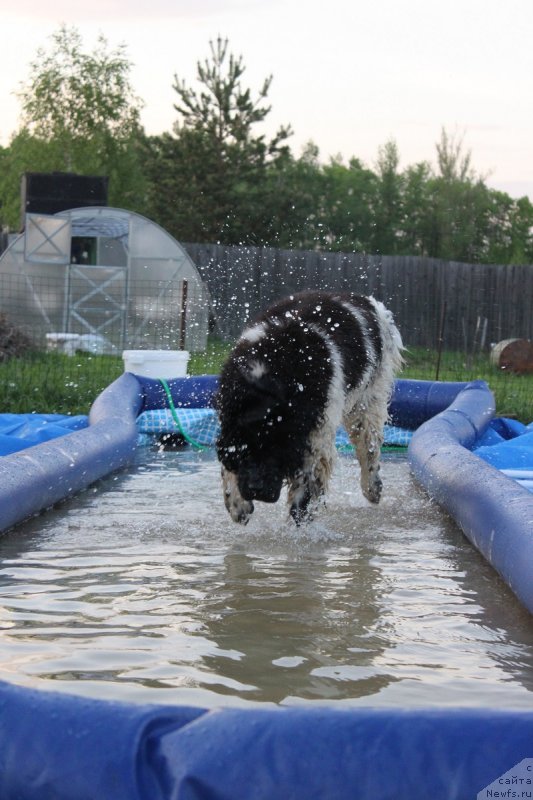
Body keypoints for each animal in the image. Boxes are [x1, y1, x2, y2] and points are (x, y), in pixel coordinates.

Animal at [214, 290, 402, 524]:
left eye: (278, 447)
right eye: (244, 447)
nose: (258, 490)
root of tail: (366, 301)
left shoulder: (315, 436)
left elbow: (304, 496)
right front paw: (237, 504)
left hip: (368, 399)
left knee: (369, 448)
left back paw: (373, 489)